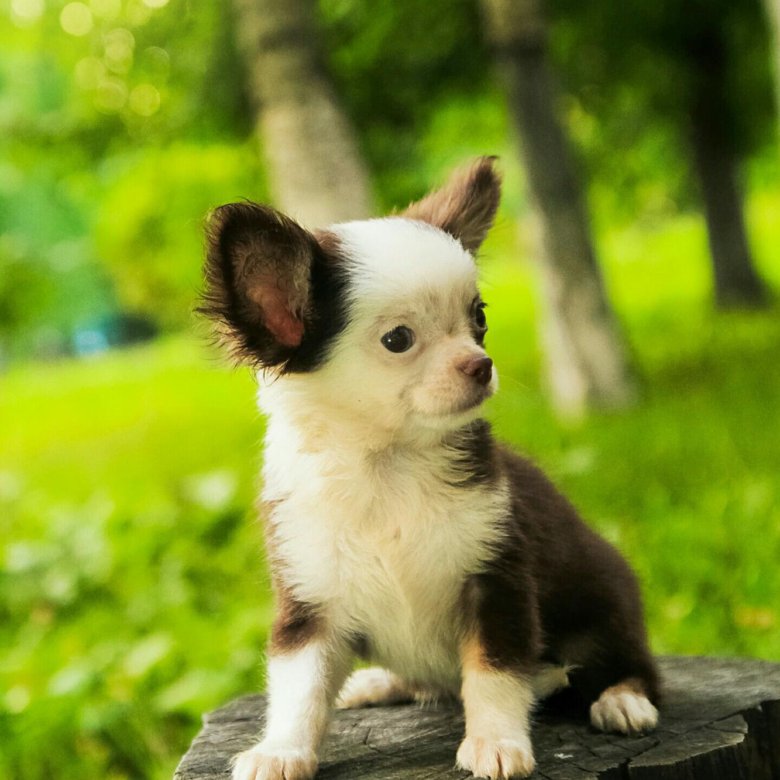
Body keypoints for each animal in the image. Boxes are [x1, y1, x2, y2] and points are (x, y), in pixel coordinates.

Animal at [201, 155, 660, 776]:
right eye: (398, 339)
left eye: (479, 318)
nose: (481, 364)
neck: (386, 465)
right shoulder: (310, 604)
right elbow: (299, 689)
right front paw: (281, 750)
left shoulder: (496, 583)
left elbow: (493, 674)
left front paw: (496, 742)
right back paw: (376, 683)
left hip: (607, 602)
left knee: (632, 665)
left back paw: (622, 699)